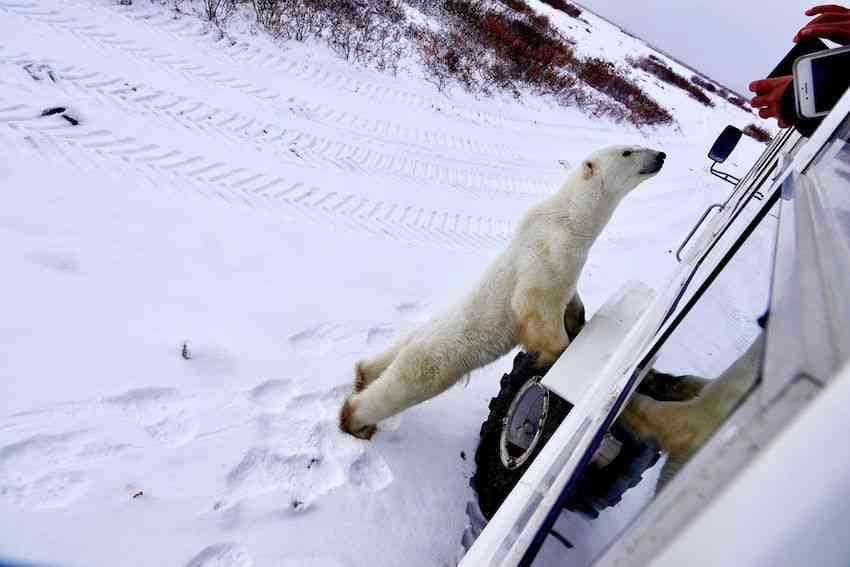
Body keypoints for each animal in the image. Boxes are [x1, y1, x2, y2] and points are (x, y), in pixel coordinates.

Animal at [342, 145, 664, 440]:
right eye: (628, 151)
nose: (661, 155)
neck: (569, 220)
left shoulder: (569, 263)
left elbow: (570, 298)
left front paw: (577, 320)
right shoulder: (548, 254)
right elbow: (535, 304)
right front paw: (556, 352)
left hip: (419, 335)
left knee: (390, 356)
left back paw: (363, 375)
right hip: (437, 358)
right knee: (405, 387)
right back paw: (356, 422)